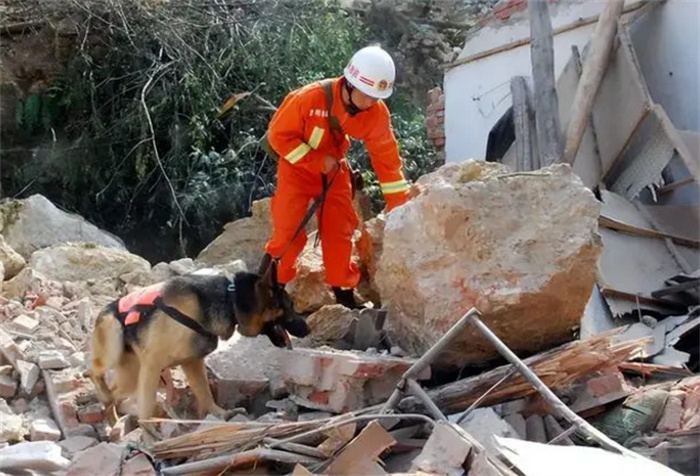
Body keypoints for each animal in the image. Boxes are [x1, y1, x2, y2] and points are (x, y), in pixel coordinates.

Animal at [87, 270, 308, 422]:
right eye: (289, 306)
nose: (307, 329)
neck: (230, 301)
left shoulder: (192, 363)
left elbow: (205, 394)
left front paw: (222, 414)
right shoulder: (153, 364)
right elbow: (147, 405)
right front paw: (149, 434)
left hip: (132, 375)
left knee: (112, 395)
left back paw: (111, 415)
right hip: (114, 345)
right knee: (95, 373)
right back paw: (97, 385)